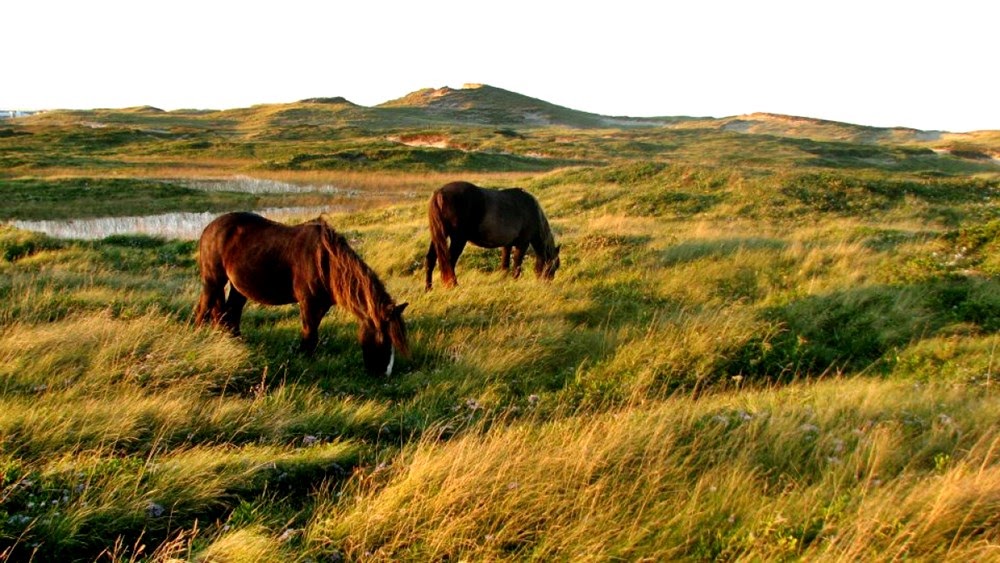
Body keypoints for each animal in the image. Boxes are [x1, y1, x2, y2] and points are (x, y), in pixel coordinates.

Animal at [195, 212, 410, 374]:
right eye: (384, 339)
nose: (383, 374)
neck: (326, 262)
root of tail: (209, 228)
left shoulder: (322, 304)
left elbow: (313, 332)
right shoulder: (308, 302)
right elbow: (309, 333)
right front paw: (304, 359)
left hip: (238, 287)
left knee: (231, 312)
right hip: (213, 281)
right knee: (203, 310)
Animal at [424, 182, 560, 290]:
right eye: (555, 266)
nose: (547, 284)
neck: (531, 210)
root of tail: (440, 192)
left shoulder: (507, 245)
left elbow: (505, 265)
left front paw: (504, 280)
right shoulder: (523, 243)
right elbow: (517, 264)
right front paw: (515, 280)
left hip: (438, 237)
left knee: (431, 259)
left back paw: (428, 288)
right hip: (458, 239)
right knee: (450, 262)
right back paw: (453, 285)